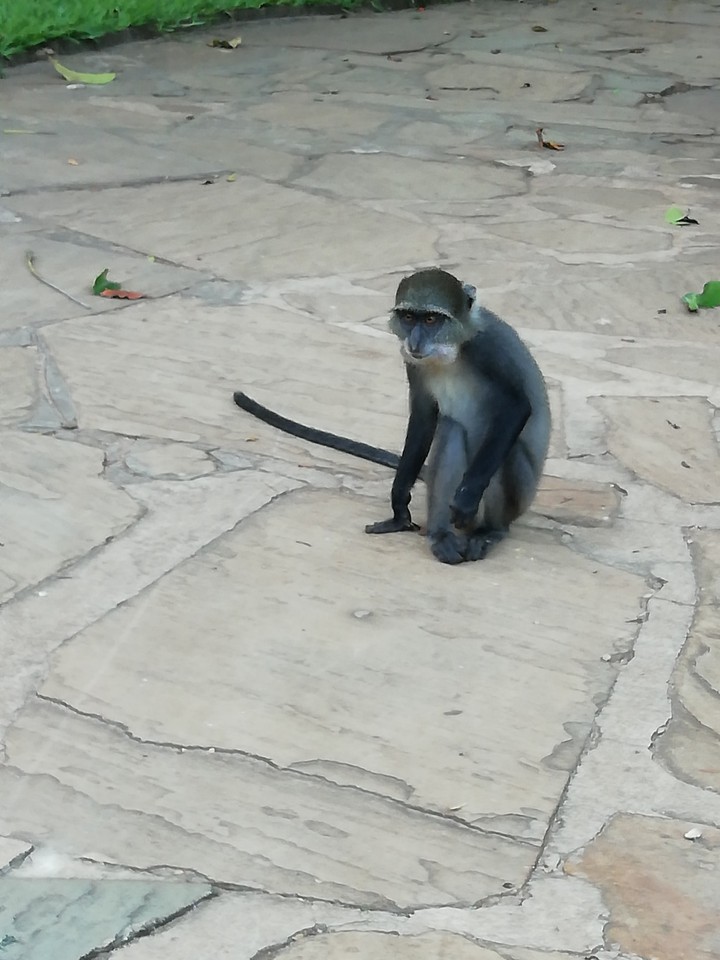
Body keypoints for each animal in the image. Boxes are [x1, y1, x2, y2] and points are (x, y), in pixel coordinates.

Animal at [233, 268, 551, 564]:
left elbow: (516, 407)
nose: (416, 341)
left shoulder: (490, 348)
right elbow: (423, 417)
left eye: (431, 320)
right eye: (409, 317)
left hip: (518, 495)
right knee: (450, 428)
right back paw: (440, 536)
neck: (452, 350)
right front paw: (399, 506)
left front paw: (467, 498)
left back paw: (488, 531)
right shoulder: (412, 363)